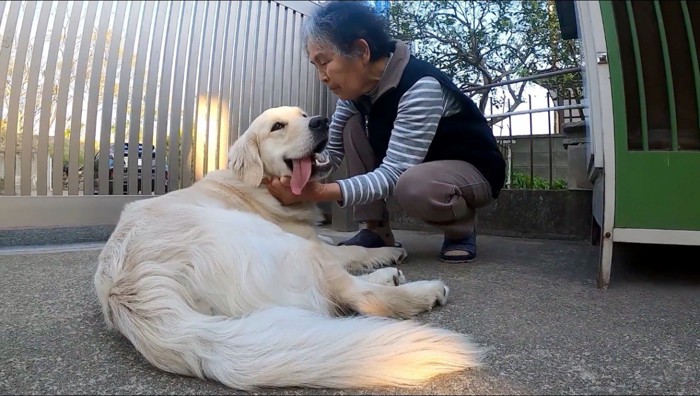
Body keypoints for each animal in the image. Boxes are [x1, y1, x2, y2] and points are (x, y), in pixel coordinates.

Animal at [93, 105, 484, 390]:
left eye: (302, 114)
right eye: (278, 126)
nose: (321, 121)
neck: (258, 185)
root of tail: (133, 288)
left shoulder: (317, 238)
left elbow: (338, 242)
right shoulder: (311, 242)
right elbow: (352, 252)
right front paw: (385, 253)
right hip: (288, 247)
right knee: (359, 297)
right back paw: (421, 289)